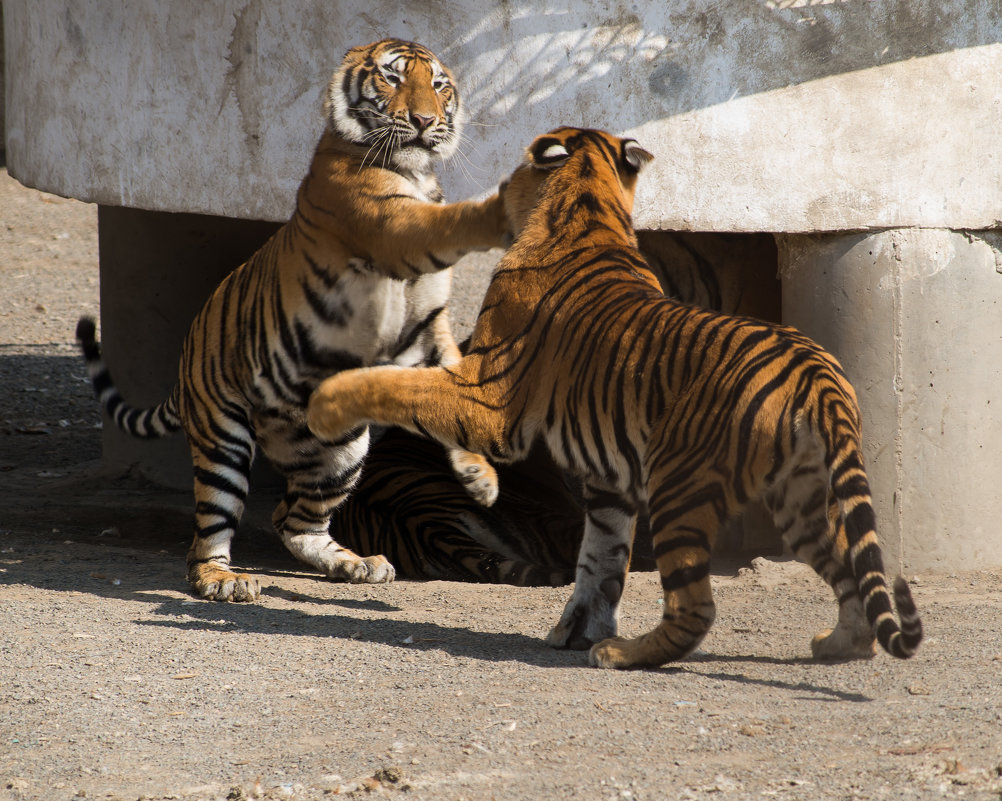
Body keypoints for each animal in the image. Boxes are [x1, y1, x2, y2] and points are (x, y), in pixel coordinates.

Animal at [74, 37, 509, 601]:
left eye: (439, 86)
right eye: (393, 79)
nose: (423, 119)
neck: (417, 173)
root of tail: (188, 350)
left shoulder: (428, 327)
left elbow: (454, 394)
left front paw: (480, 477)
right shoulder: (391, 227)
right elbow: (445, 224)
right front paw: (507, 204)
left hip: (344, 452)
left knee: (291, 519)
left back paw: (356, 564)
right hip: (224, 441)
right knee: (208, 535)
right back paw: (224, 580)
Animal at [306, 126, 921, 669]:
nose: (496, 196)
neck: (590, 213)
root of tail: (815, 372)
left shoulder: (489, 397)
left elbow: (396, 384)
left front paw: (326, 401)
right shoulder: (606, 479)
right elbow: (599, 561)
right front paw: (574, 628)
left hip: (679, 485)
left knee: (696, 606)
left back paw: (624, 655)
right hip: (800, 499)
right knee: (849, 573)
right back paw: (837, 644)